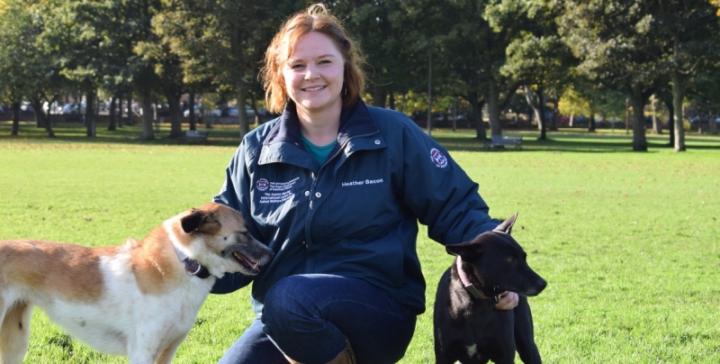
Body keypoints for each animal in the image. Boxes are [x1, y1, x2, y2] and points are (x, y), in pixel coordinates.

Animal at [0, 203, 272, 362]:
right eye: (245, 232)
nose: (271, 254)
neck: (184, 260)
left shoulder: (167, 351)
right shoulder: (143, 350)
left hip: (15, 341)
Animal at [434, 215, 544, 362]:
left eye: (524, 257)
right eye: (509, 260)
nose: (543, 283)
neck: (476, 304)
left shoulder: (505, 355)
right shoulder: (444, 355)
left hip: (527, 345)